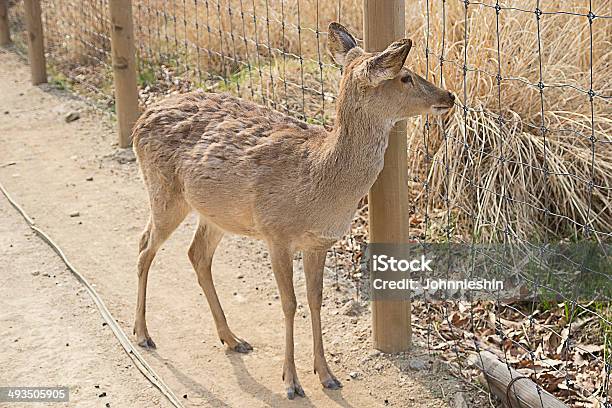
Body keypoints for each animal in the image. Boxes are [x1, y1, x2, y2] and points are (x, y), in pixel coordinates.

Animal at [130, 21, 454, 398]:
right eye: (404, 76)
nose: (449, 96)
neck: (320, 182)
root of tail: (141, 119)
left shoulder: (319, 242)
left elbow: (315, 300)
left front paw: (326, 374)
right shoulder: (276, 234)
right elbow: (289, 303)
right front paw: (291, 381)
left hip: (216, 213)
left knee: (196, 254)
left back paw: (232, 338)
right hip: (165, 193)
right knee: (144, 245)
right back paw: (143, 333)